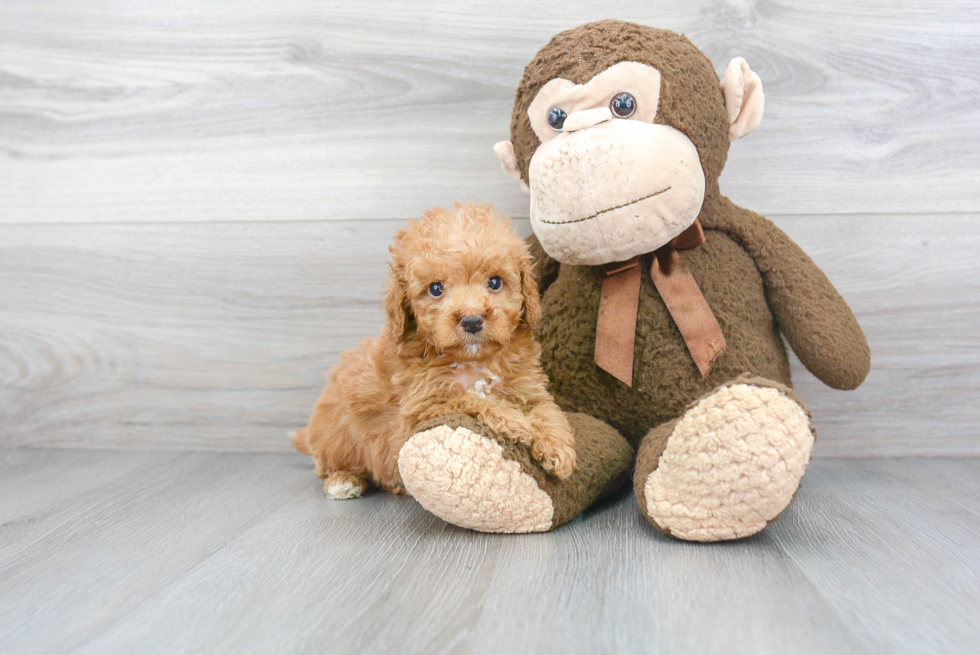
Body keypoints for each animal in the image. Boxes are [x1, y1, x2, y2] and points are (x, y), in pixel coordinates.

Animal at [294, 202, 580, 500]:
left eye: (495, 282)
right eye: (435, 289)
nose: (472, 320)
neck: (473, 360)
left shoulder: (528, 387)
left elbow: (548, 410)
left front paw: (558, 449)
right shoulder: (422, 407)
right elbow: (469, 399)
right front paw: (513, 420)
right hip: (336, 435)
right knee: (328, 464)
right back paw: (343, 480)